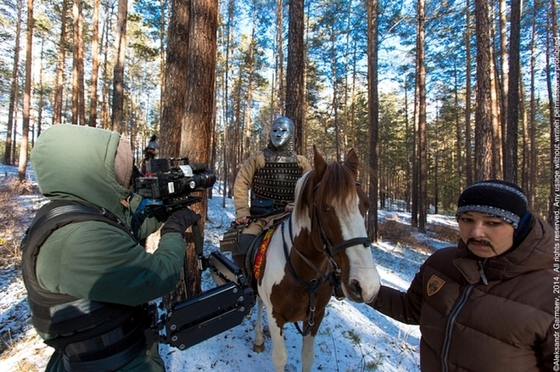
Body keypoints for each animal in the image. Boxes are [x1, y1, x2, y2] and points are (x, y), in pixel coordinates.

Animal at [252, 147, 382, 370]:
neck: (306, 273)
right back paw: (259, 338)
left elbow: (307, 356)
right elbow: (280, 358)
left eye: (366, 205)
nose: (367, 285)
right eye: (325, 207)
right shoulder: (275, 316)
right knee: (259, 303)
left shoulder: (316, 315)